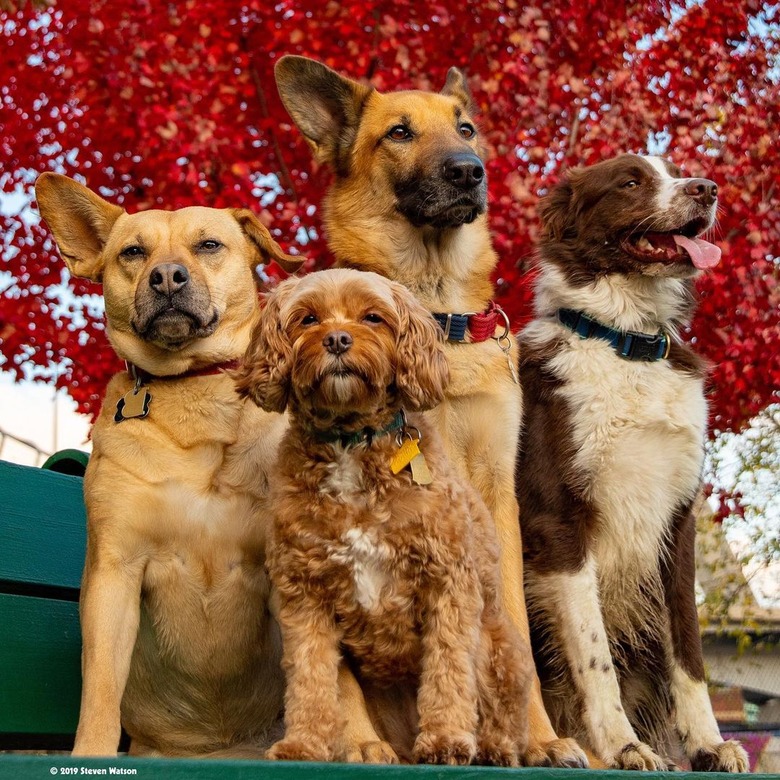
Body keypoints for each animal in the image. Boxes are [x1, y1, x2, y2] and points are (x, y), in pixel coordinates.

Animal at [235, 270, 532, 768]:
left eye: (373, 317)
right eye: (307, 318)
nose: (337, 339)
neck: (350, 442)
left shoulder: (448, 580)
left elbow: (448, 668)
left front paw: (446, 740)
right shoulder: (304, 595)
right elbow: (312, 675)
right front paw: (304, 744)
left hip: (499, 649)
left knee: (497, 707)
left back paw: (493, 748)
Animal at [274, 54, 584, 768]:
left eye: (466, 128)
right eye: (399, 132)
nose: (469, 170)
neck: (439, 312)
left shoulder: (494, 500)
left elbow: (513, 634)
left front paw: (538, 738)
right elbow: (326, 660)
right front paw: (355, 741)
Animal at [516, 154, 748, 772]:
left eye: (677, 172)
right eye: (629, 182)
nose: (708, 189)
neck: (626, 343)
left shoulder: (678, 521)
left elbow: (688, 652)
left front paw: (709, 744)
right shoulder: (560, 523)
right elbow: (594, 655)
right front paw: (623, 745)